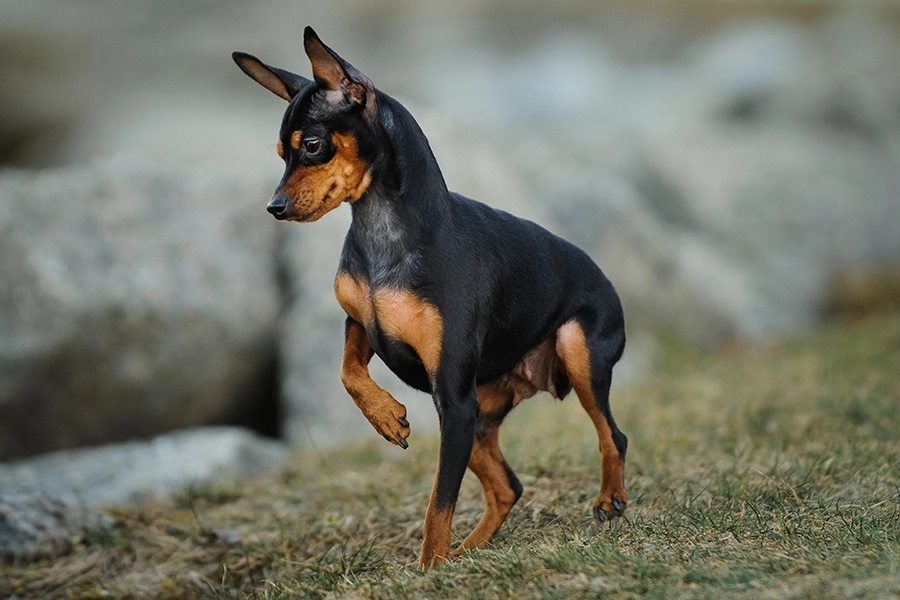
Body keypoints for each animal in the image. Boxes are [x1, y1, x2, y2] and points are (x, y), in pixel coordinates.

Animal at [232, 28, 624, 568]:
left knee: (612, 435)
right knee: (509, 486)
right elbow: (347, 373)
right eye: (280, 154)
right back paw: (468, 553)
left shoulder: (452, 399)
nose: (274, 206)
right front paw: (387, 418)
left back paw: (609, 499)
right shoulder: (362, 326)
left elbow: (439, 502)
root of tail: (606, 279)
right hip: (478, 415)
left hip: (568, 355)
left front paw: (427, 570)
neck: (384, 235)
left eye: (311, 146)